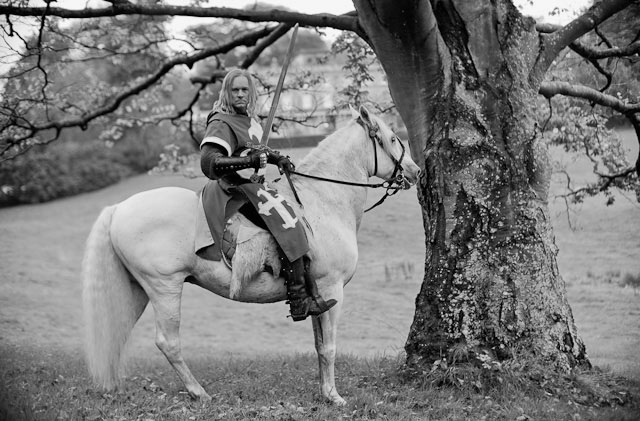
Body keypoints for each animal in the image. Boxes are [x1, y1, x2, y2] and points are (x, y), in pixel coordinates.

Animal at [81, 105, 420, 404]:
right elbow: (330, 348)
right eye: (393, 138)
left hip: (138, 289)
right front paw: (334, 397)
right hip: (165, 287)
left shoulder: (318, 296)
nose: (415, 172)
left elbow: (319, 345)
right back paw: (199, 393)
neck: (322, 200)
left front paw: (324, 393)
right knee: (168, 342)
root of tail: (118, 208)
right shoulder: (331, 287)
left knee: (117, 332)